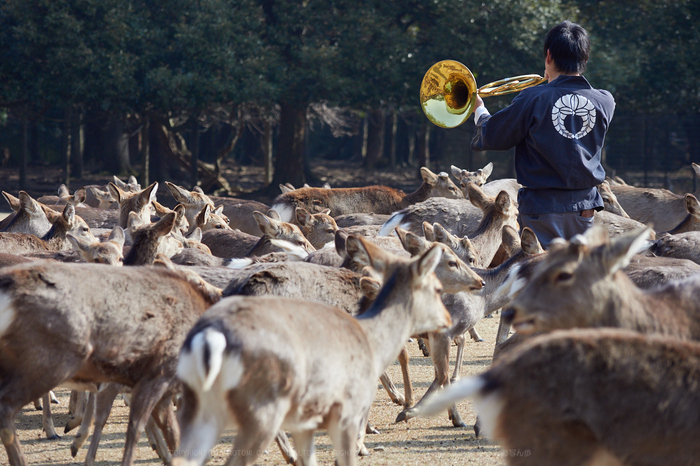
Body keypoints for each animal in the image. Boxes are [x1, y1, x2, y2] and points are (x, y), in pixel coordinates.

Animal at [0, 260, 221, 464]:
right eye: (199, 281)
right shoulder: (157, 376)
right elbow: (134, 428)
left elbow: (171, 432)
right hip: (50, 361)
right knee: (6, 407)